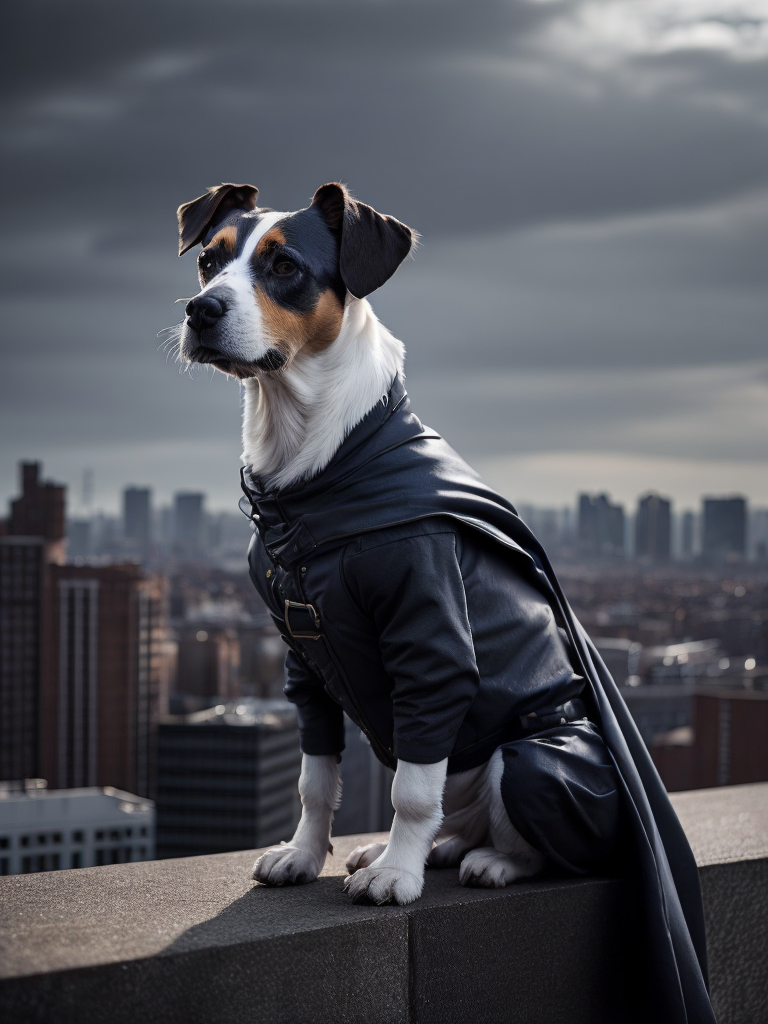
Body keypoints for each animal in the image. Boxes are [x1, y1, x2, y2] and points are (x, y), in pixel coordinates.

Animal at [176, 182, 630, 905]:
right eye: (208, 261)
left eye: (285, 266)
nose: (200, 310)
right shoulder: (303, 662)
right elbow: (315, 779)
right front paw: (305, 855)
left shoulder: (431, 647)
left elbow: (412, 791)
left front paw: (397, 875)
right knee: (458, 818)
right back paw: (434, 848)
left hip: (534, 758)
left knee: (529, 837)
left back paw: (487, 861)